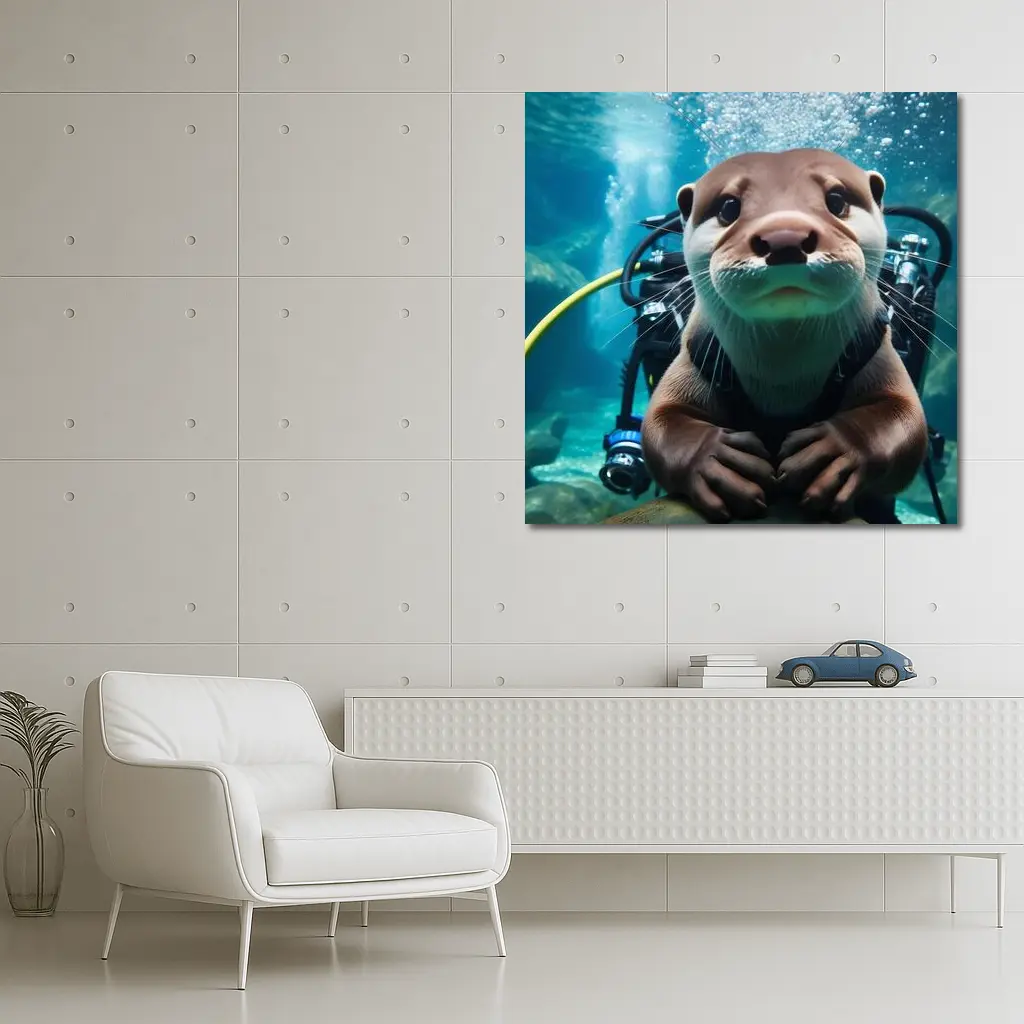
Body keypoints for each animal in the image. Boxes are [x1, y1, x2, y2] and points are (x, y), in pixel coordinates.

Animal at [641, 148, 928, 522]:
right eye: (728, 207)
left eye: (836, 200)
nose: (785, 237)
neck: (784, 378)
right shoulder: (695, 354)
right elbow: (661, 422)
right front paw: (716, 459)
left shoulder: (875, 349)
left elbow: (906, 421)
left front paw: (836, 452)